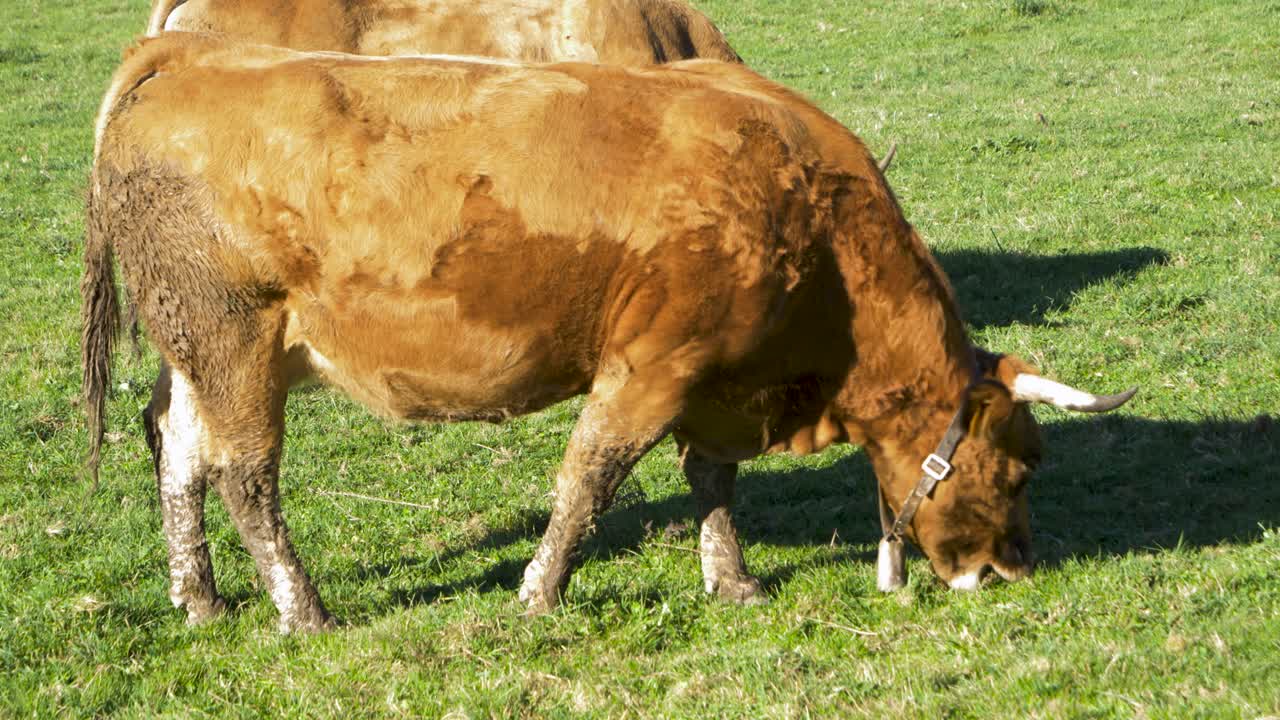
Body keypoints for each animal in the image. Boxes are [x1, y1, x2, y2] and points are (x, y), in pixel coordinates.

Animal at [84, 33, 1135, 632]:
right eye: (1022, 464)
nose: (1010, 568)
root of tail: (199, 53)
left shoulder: (717, 379)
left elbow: (712, 481)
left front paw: (732, 583)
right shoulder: (652, 363)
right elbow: (589, 481)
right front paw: (540, 593)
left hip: (199, 353)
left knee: (180, 454)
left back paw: (202, 599)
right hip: (235, 341)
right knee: (246, 479)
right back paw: (302, 612)